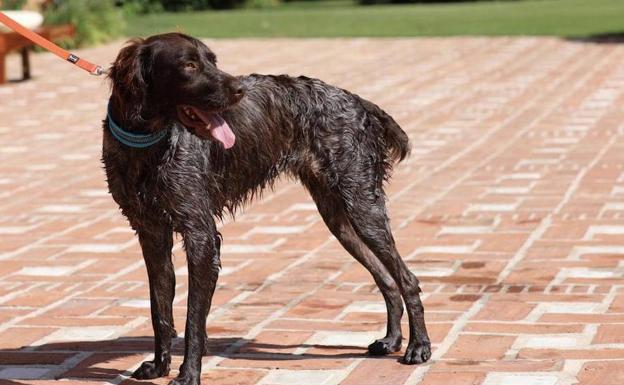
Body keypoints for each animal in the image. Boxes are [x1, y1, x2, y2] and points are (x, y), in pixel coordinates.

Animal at [103, 33, 428, 384]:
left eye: (212, 60)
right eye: (189, 65)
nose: (238, 90)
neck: (147, 145)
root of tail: (359, 102)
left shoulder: (201, 237)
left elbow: (193, 321)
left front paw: (188, 374)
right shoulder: (151, 235)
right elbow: (159, 310)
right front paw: (159, 365)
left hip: (363, 208)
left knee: (407, 278)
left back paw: (419, 347)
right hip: (339, 219)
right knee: (387, 279)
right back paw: (392, 339)